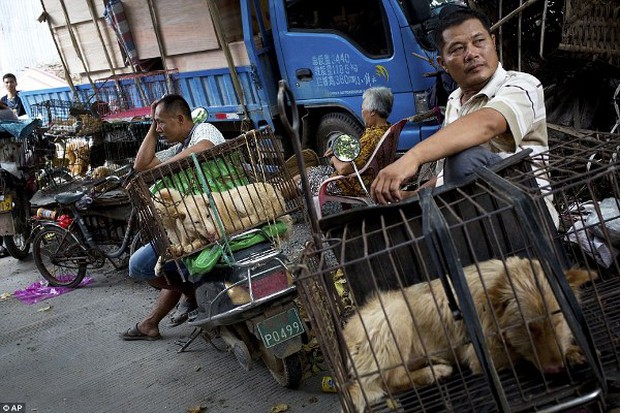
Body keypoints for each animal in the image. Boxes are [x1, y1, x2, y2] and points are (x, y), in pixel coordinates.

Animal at [155, 183, 290, 254]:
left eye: (208, 216)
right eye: (196, 222)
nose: (212, 232)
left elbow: (197, 242)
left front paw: (191, 246)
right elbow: (182, 244)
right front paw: (178, 248)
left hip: (238, 200)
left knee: (257, 217)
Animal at [342, 256, 600, 410]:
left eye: (558, 320)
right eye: (529, 328)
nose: (555, 369)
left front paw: (573, 350)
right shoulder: (482, 356)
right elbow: (520, 354)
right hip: (396, 312)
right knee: (391, 381)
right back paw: (434, 373)